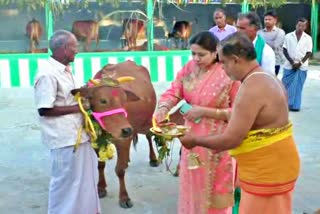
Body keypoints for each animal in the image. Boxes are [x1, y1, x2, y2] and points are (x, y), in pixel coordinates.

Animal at [71, 60, 159, 209]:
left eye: (124, 101)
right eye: (103, 100)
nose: (126, 130)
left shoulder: (123, 139)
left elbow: (119, 170)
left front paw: (124, 197)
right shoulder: (96, 141)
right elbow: (100, 165)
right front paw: (101, 187)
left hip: (146, 121)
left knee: (148, 136)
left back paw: (153, 159)